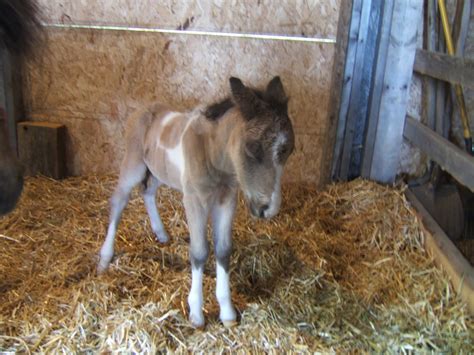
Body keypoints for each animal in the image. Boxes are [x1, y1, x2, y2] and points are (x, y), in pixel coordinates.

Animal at [98, 76, 294, 326]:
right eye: (252, 148)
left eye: (289, 150)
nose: (268, 209)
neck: (212, 153)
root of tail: (142, 110)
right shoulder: (194, 200)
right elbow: (200, 251)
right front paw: (197, 313)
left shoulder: (226, 199)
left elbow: (223, 249)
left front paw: (227, 313)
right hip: (133, 165)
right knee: (118, 201)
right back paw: (105, 258)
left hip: (159, 171)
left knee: (148, 192)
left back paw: (161, 233)